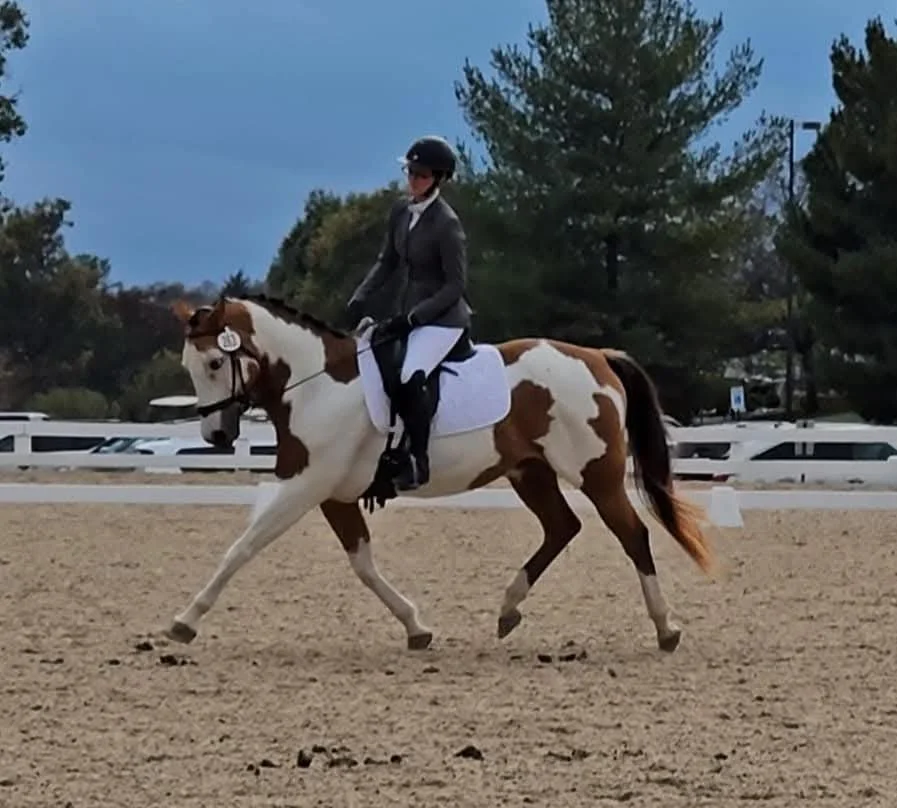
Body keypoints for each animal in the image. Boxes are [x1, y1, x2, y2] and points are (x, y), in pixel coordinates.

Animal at [166, 294, 714, 653]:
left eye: (214, 362)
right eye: (190, 365)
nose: (216, 435)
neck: (318, 385)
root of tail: (597, 357)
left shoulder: (305, 485)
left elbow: (243, 547)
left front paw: (186, 619)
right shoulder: (333, 494)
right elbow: (363, 564)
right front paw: (415, 627)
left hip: (595, 472)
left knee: (633, 533)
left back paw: (666, 628)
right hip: (530, 471)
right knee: (562, 527)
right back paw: (508, 609)